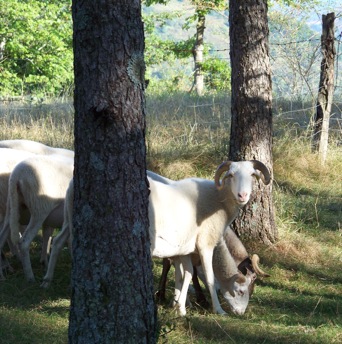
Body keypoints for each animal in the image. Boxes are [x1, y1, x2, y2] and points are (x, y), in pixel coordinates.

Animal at [148, 160, 272, 316]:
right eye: (231, 175)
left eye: (252, 175)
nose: (242, 195)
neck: (219, 200)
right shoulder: (205, 244)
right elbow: (209, 277)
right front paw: (217, 309)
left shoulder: (185, 249)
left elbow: (184, 273)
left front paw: (178, 305)